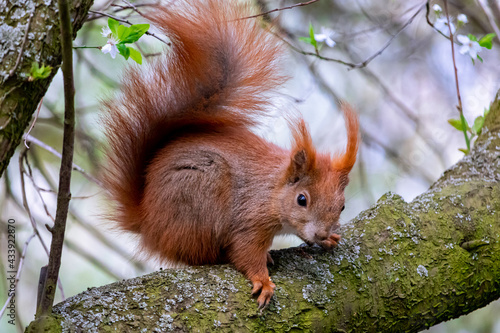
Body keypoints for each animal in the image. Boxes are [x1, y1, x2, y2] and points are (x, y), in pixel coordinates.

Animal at [101, 0, 360, 308]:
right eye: (302, 200)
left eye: (342, 206)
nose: (320, 233)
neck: (274, 188)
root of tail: (147, 222)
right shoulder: (250, 218)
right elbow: (246, 251)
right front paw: (263, 281)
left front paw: (328, 239)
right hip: (200, 197)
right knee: (201, 255)